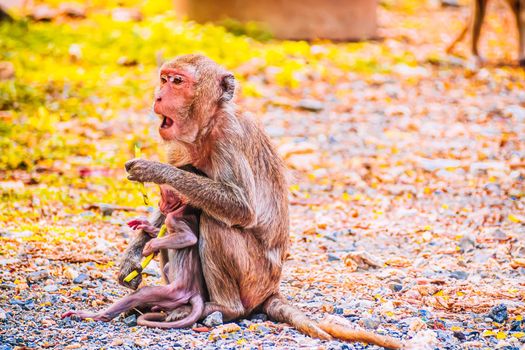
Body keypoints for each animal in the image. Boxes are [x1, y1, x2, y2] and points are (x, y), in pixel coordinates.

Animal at [62, 185, 206, 330]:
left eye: (162, 194)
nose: (159, 203)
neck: (182, 209)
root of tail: (194, 293)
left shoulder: (172, 219)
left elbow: (189, 238)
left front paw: (150, 247)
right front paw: (148, 228)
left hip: (174, 293)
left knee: (142, 294)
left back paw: (97, 315)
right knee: (166, 268)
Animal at [118, 54, 402, 348]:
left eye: (177, 81)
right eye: (164, 79)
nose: (159, 95)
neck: (207, 125)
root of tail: (271, 290)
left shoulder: (228, 136)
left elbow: (241, 207)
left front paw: (154, 170)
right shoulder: (177, 147)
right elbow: (168, 210)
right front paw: (133, 256)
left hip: (255, 278)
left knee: (216, 223)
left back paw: (222, 307)